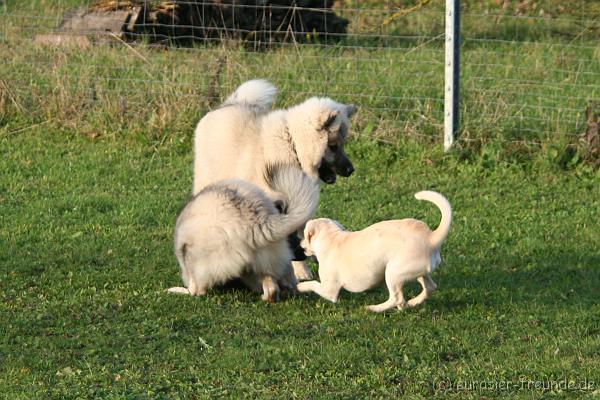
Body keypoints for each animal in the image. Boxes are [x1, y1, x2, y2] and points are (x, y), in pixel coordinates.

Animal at [298, 191, 452, 312]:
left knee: (396, 298)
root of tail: (431, 238)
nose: (299, 244)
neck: (332, 238)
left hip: (392, 272)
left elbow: (312, 284)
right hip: (417, 273)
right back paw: (412, 303)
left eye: (304, 235)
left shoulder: (328, 290)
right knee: (428, 288)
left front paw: (299, 286)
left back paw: (374, 308)